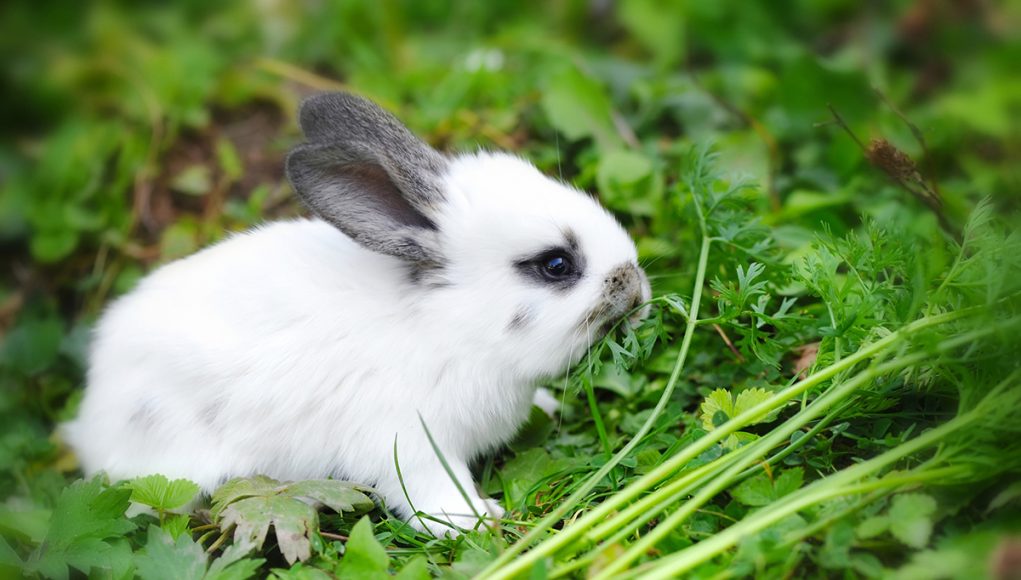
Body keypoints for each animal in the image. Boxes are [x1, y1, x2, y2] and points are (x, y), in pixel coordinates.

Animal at [63, 92, 649, 535]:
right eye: (555, 265)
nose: (637, 290)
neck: (451, 324)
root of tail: (92, 416)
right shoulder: (409, 441)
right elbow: (430, 489)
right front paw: (478, 520)